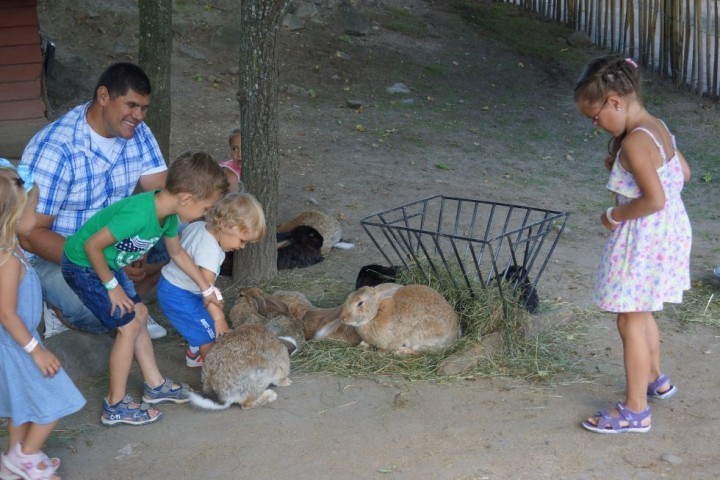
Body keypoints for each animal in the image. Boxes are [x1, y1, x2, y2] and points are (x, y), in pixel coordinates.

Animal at [324, 284, 458, 354]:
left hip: (420, 333)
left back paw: (400, 351)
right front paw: (362, 345)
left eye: (360, 303)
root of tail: (453, 338)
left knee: (417, 350)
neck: (375, 314)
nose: (342, 318)